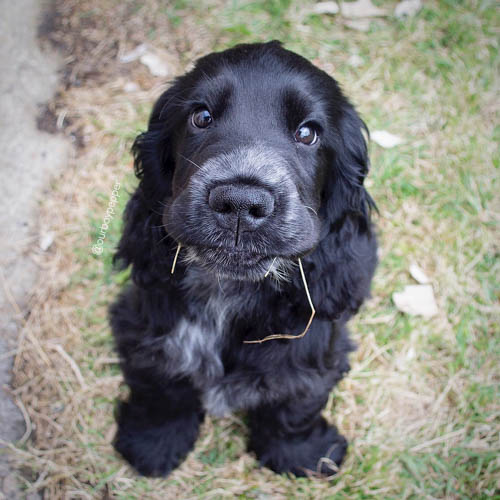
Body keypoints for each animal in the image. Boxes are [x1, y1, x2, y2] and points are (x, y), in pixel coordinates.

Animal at [109, 41, 376, 478]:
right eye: (201, 117)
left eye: (308, 132)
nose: (239, 202)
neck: (229, 291)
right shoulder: (147, 325)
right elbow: (161, 382)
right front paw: (153, 443)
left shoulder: (312, 348)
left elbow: (295, 402)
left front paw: (303, 453)